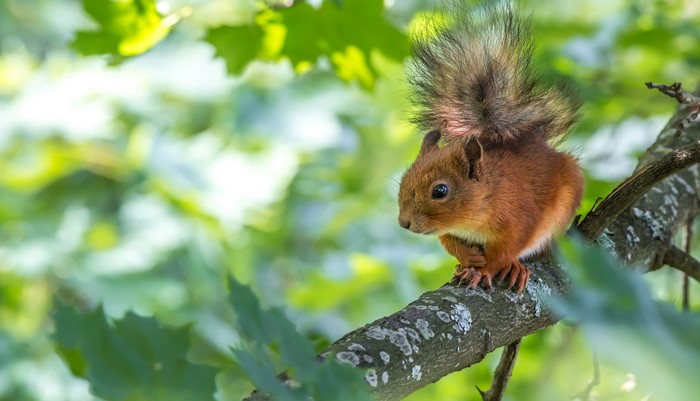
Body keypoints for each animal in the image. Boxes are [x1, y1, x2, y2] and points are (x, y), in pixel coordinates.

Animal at [397, 3, 584, 293]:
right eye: (403, 181)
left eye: (440, 191)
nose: (404, 223)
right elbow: (448, 241)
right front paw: (466, 258)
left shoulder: (519, 219)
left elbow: (506, 251)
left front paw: (484, 270)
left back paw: (516, 268)